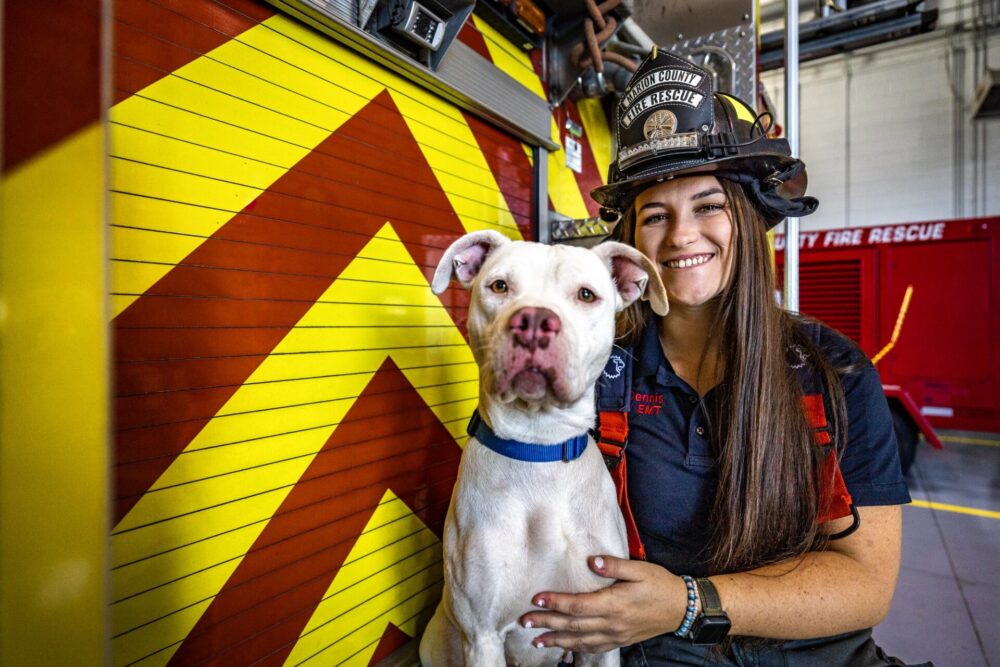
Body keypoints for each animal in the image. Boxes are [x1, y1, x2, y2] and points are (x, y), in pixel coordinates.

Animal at [418, 231, 668, 667]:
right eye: (500, 286)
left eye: (586, 294)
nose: (534, 320)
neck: (539, 448)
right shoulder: (482, 637)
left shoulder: (600, 631)